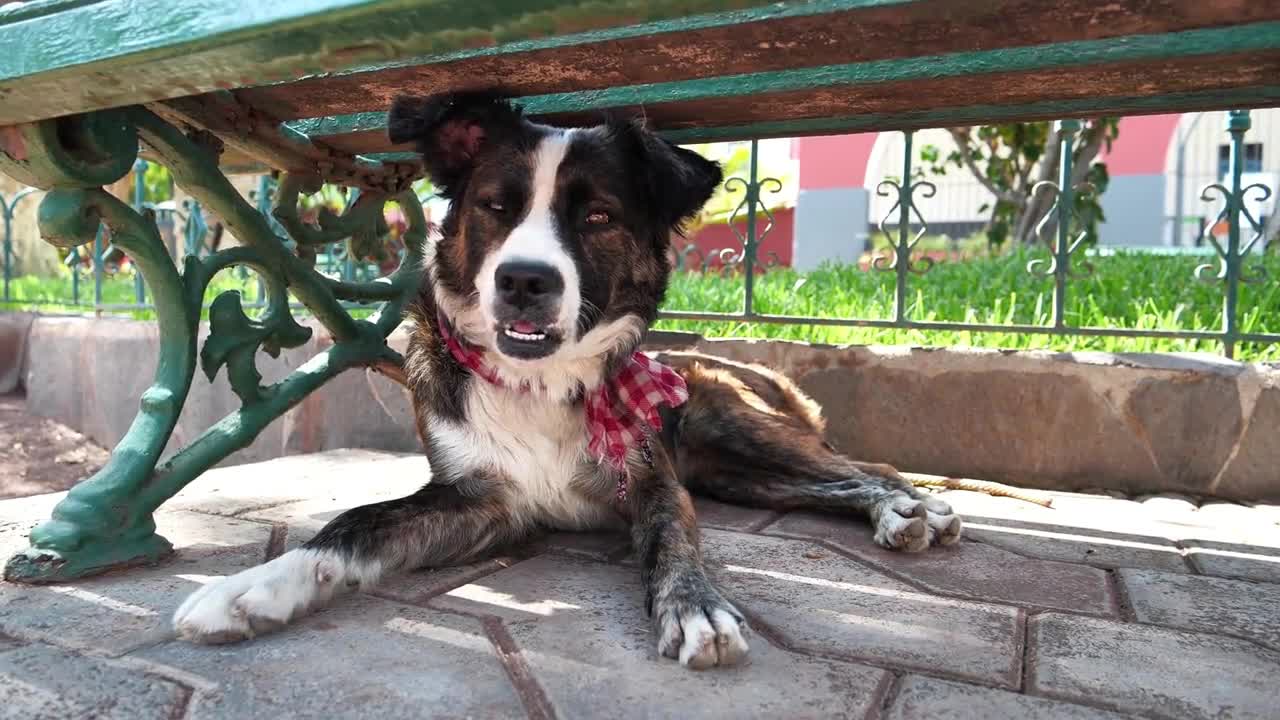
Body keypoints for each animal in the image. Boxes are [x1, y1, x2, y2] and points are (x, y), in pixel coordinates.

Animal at [175, 90, 962, 666]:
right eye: (496, 206)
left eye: (598, 216)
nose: (525, 280)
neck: (542, 383)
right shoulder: (481, 501)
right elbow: (352, 522)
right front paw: (251, 589)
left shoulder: (654, 481)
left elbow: (673, 539)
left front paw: (694, 606)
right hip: (736, 476)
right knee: (823, 487)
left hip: (733, 429)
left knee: (866, 468)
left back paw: (912, 508)